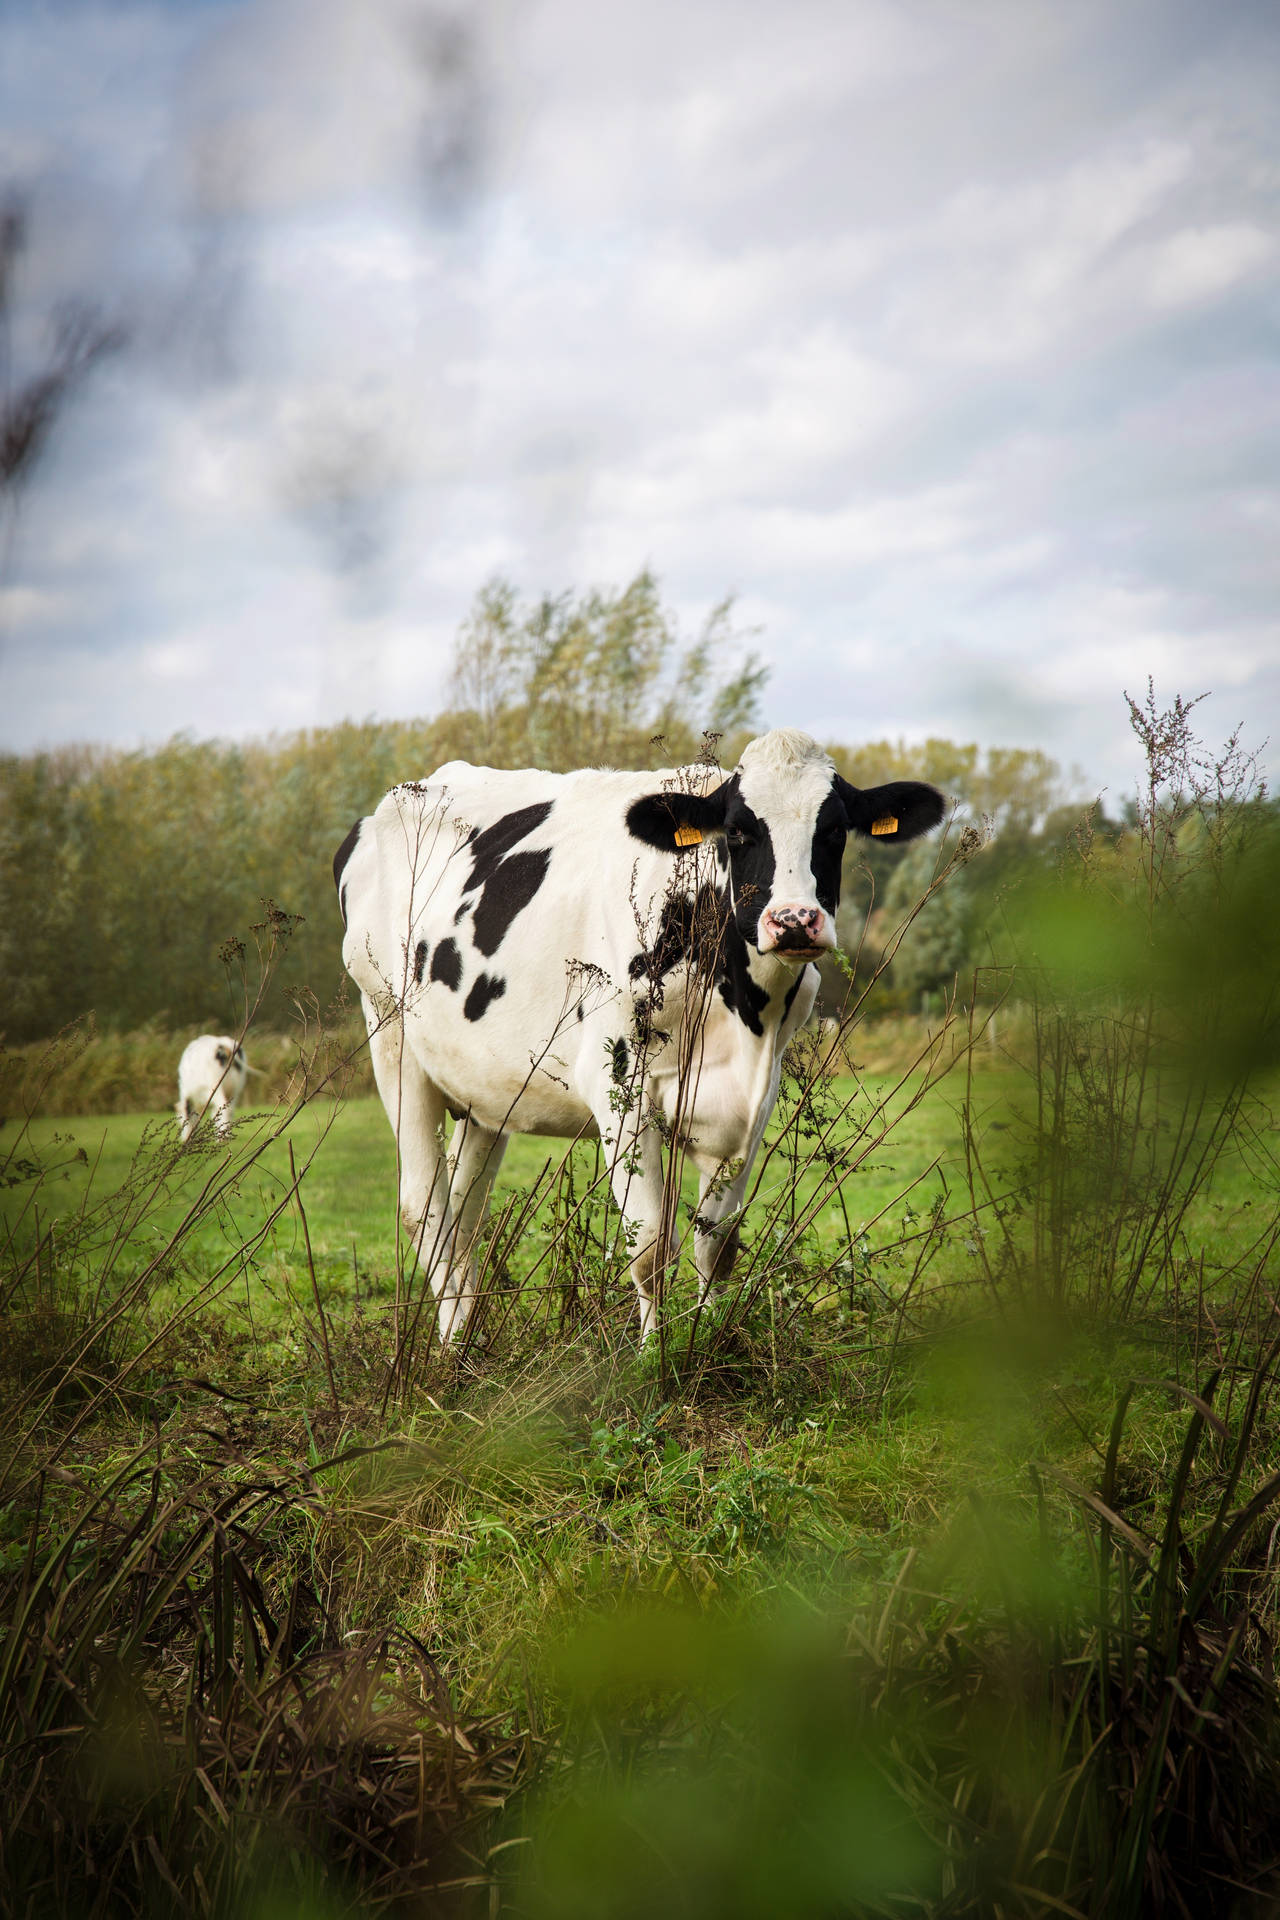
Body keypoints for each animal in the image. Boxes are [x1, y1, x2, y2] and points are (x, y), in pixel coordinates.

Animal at [335, 725, 948, 1344]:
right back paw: (449, 1345)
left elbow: (716, 1247)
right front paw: (653, 1354)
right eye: (737, 830)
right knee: (424, 1210)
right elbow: (651, 1246)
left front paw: (707, 1339)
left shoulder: (753, 1097)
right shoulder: (619, 1084)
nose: (794, 921)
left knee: (464, 1213)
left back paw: (464, 1340)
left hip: (483, 1089)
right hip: (391, 1037)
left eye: (835, 830)